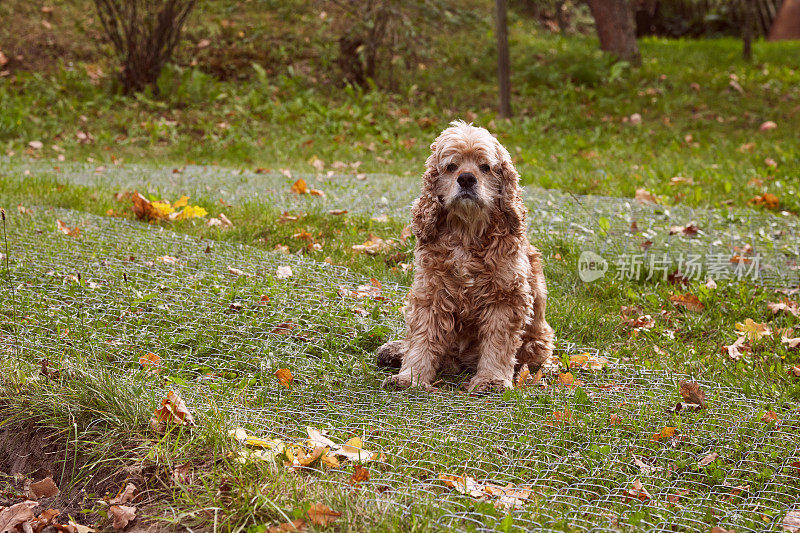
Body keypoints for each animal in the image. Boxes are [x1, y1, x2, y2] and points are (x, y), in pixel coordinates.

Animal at [376, 121, 552, 394]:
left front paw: (491, 380)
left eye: (485, 167)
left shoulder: (506, 297)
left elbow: (497, 343)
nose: (467, 178)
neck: (467, 234)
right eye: (451, 167)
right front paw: (410, 377)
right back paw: (394, 351)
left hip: (537, 343)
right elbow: (422, 339)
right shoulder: (431, 293)